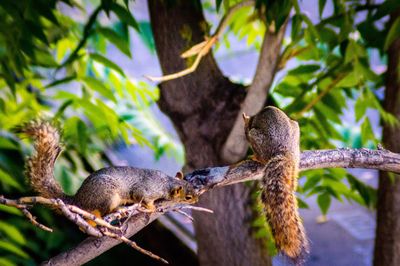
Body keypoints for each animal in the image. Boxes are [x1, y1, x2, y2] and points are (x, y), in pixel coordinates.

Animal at [20, 121, 198, 221]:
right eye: (188, 197)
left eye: (193, 187)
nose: (196, 201)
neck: (167, 182)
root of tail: (78, 200)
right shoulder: (146, 190)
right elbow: (142, 197)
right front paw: (151, 207)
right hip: (108, 195)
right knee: (104, 210)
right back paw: (115, 211)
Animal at [241, 106, 310, 264]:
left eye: (245, 129)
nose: (244, 134)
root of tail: (285, 152)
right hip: (295, 130)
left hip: (257, 138)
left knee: (261, 156)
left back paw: (256, 157)